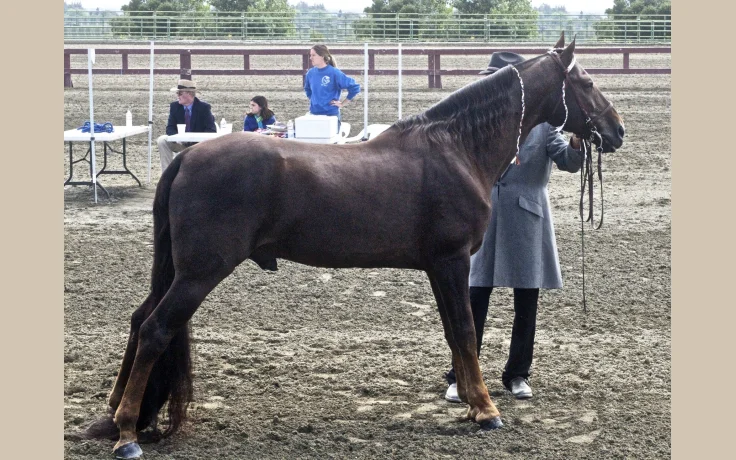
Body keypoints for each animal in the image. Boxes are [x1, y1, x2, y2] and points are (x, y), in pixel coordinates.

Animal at [89, 34, 624, 459]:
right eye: (586, 82)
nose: (616, 131)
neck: (455, 148)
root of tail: (188, 157)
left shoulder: (438, 268)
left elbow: (455, 335)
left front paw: (473, 405)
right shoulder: (451, 262)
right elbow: (467, 333)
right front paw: (487, 409)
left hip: (181, 271)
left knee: (139, 320)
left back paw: (113, 416)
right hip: (200, 273)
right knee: (155, 329)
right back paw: (127, 435)